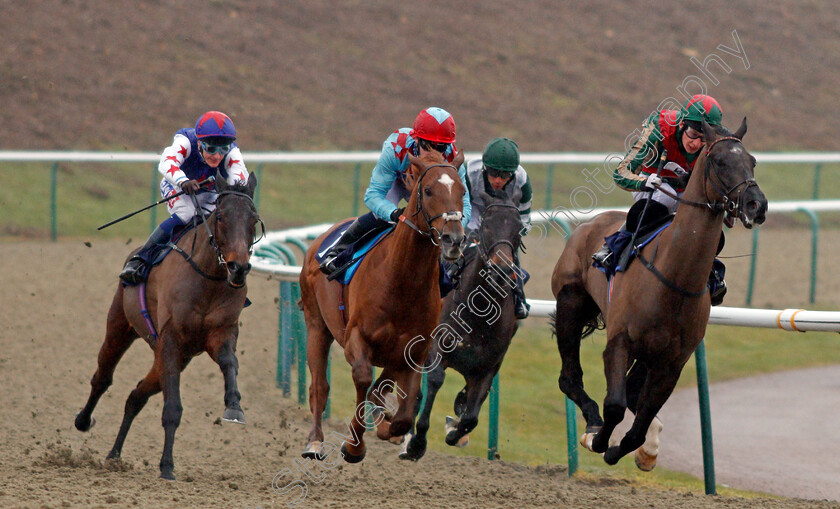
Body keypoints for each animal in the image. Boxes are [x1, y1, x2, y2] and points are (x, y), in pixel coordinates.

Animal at [75, 173, 260, 478]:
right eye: (221, 216)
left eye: (253, 219)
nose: (238, 268)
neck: (208, 276)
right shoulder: (171, 339)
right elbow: (172, 408)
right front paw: (166, 466)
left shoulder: (220, 334)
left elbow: (229, 363)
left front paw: (234, 406)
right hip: (120, 327)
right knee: (102, 377)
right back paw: (83, 420)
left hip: (171, 356)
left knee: (136, 395)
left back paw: (114, 454)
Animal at [296, 149, 470, 462]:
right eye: (428, 190)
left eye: (462, 191)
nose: (454, 239)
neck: (401, 281)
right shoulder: (356, 338)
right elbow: (364, 379)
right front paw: (353, 446)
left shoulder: (414, 350)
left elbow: (402, 409)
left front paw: (391, 429)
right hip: (317, 325)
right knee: (319, 386)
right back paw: (315, 441)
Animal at [400, 190, 524, 460]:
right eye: (487, 225)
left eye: (519, 228)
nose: (501, 271)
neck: (478, 313)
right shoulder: (436, 348)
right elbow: (434, 381)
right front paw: (417, 442)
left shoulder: (487, 368)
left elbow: (471, 416)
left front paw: (454, 431)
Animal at [552, 119, 768, 468]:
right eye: (720, 161)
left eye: (752, 161)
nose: (756, 205)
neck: (673, 279)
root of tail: (589, 224)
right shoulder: (620, 341)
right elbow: (615, 404)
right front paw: (599, 440)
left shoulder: (672, 362)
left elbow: (638, 422)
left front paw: (629, 450)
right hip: (570, 302)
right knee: (570, 378)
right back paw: (592, 424)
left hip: (647, 352)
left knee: (631, 391)